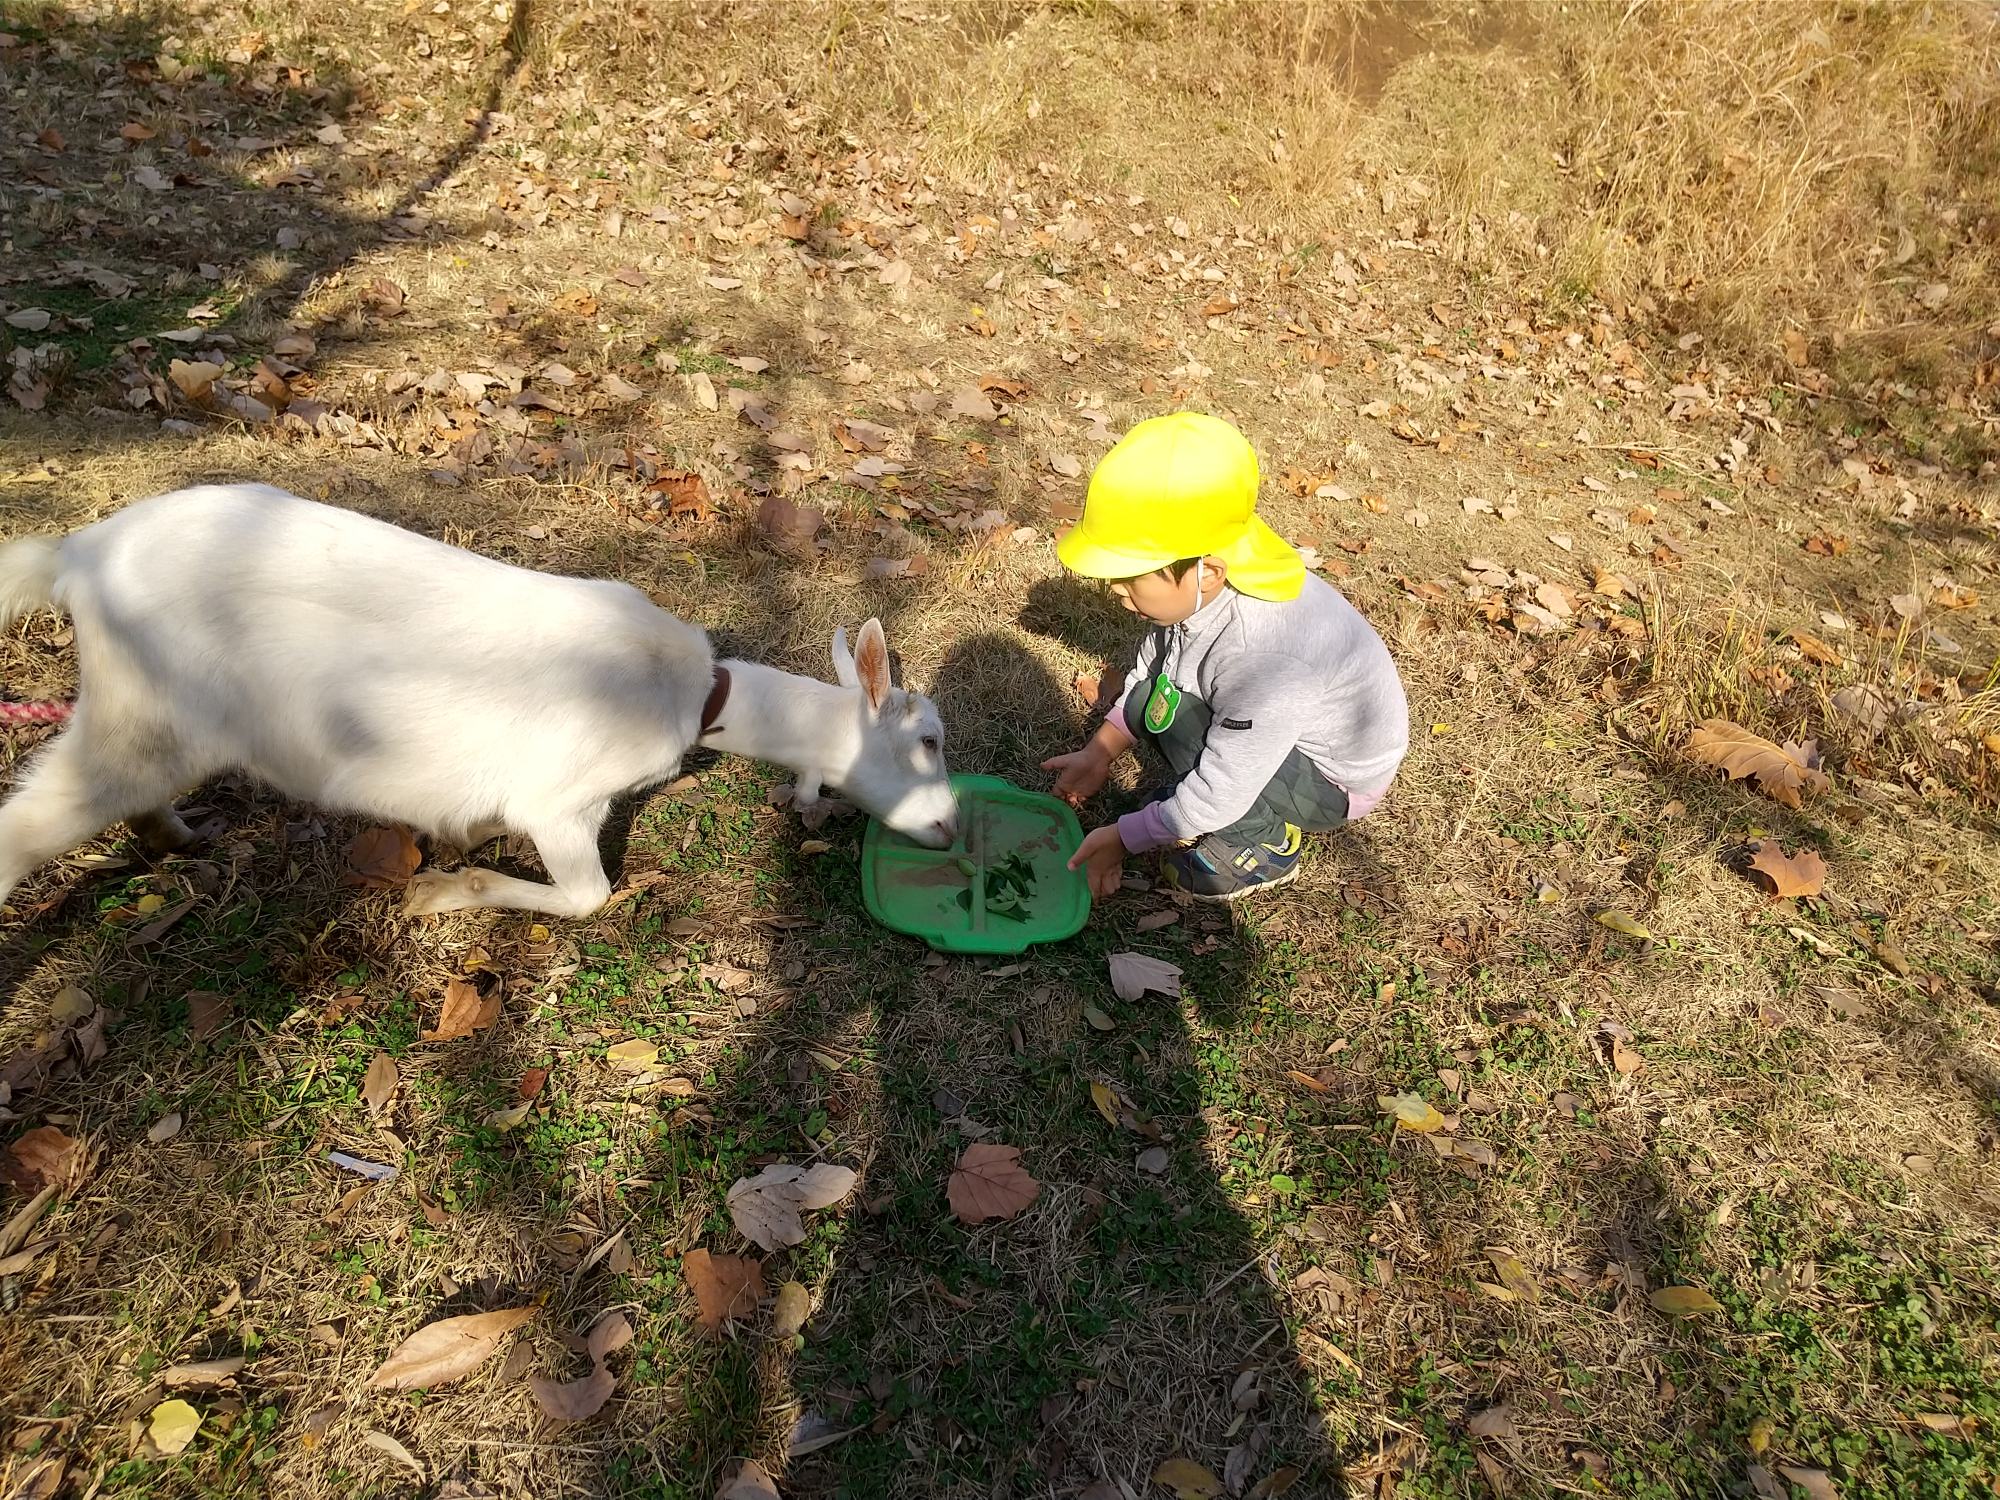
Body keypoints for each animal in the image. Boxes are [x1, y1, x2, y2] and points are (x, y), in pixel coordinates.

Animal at [0, 488, 960, 924]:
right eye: (930, 739)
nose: (952, 831)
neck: (698, 692)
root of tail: (79, 554)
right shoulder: (561, 797)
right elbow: (589, 896)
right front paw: (443, 892)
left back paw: (177, 837)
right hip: (145, 712)